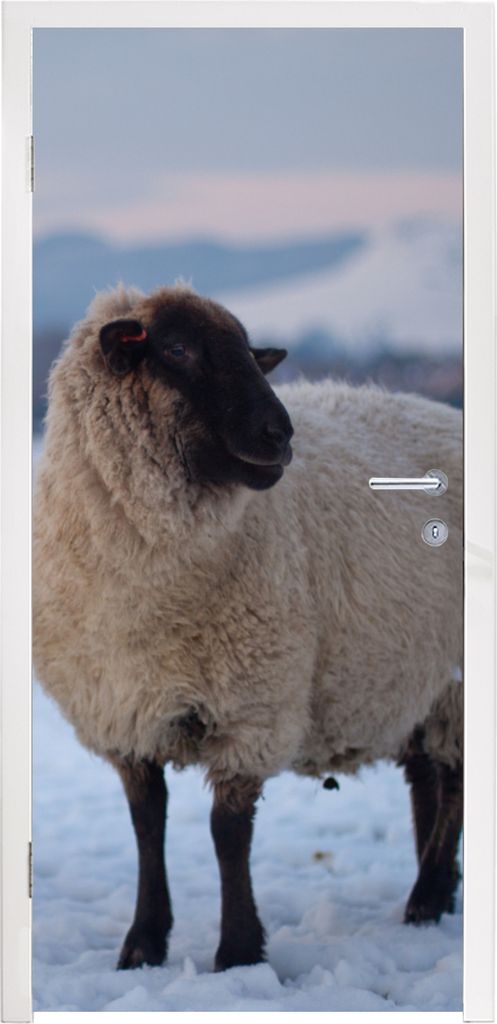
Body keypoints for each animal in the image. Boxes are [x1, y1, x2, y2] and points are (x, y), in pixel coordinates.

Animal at [33, 282, 463, 973]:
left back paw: (426, 897)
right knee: (429, 776)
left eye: (249, 352)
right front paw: (143, 943)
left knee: (451, 782)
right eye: (177, 349)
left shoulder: (250, 705)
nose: (280, 434)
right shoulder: (124, 708)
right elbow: (146, 824)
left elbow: (226, 834)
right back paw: (435, 893)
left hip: (456, 678)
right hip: (416, 676)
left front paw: (237, 950)